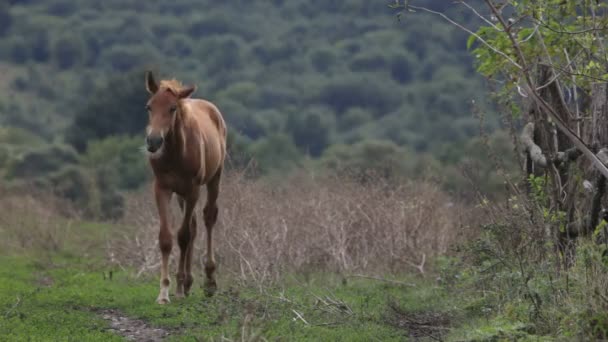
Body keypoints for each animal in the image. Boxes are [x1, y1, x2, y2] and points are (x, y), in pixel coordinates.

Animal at [144, 71, 227, 304]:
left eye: (172, 108)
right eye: (149, 107)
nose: (153, 141)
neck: (175, 153)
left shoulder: (192, 189)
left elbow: (183, 236)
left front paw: (178, 287)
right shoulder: (162, 188)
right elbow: (166, 237)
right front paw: (164, 292)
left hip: (213, 179)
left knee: (208, 218)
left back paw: (209, 281)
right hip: (181, 194)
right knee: (195, 224)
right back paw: (189, 282)